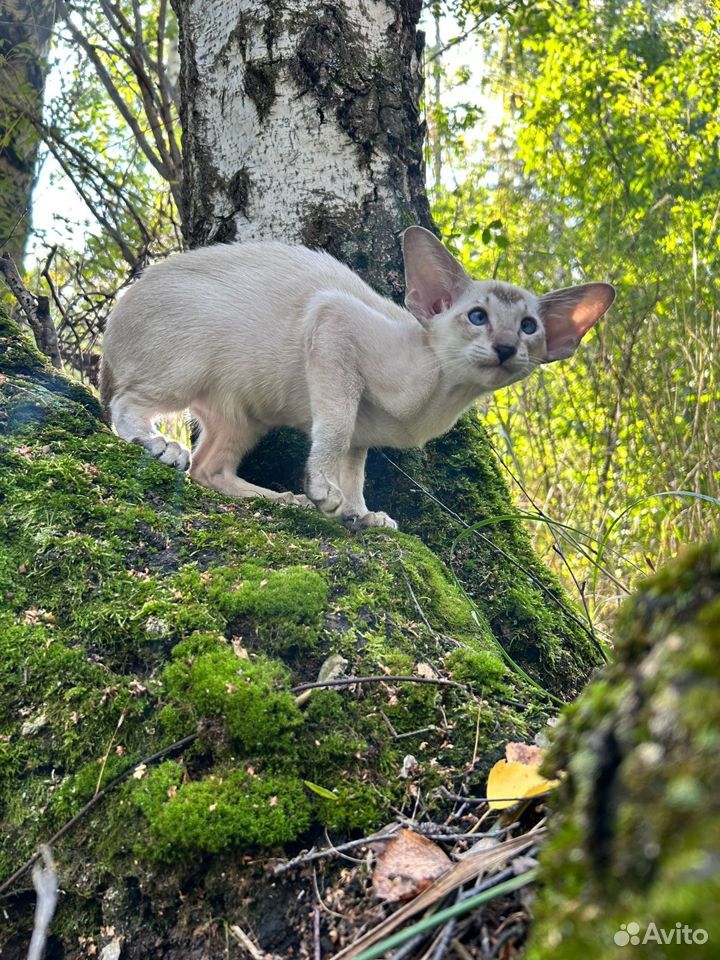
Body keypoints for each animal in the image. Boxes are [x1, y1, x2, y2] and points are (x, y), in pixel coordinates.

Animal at [101, 228, 616, 532]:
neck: (443, 398)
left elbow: (357, 472)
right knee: (124, 407)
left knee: (209, 469)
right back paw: (160, 445)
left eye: (528, 326)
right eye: (477, 317)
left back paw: (284, 501)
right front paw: (324, 492)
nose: (507, 347)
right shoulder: (334, 324)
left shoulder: (363, 436)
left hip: (245, 417)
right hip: (187, 367)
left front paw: (360, 514)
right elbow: (334, 429)